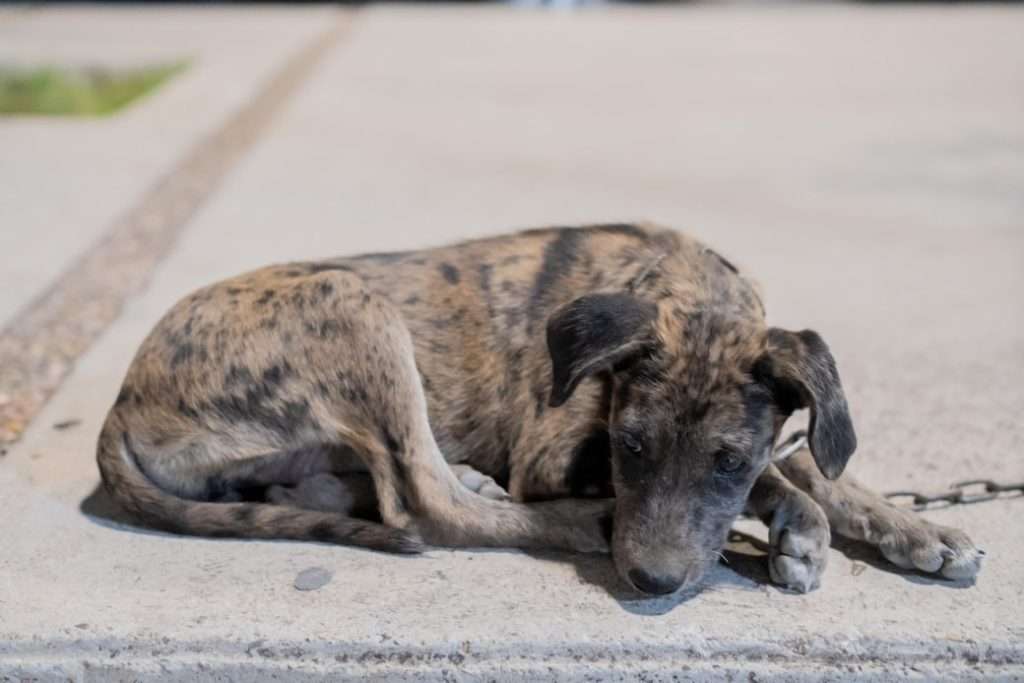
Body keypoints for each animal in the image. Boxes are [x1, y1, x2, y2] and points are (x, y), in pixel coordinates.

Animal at [97, 223, 983, 594]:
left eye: (725, 457)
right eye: (629, 445)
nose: (651, 581)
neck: (683, 278)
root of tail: (122, 398)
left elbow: (801, 457)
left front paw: (917, 529)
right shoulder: (553, 451)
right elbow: (783, 475)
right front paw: (797, 525)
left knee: (361, 482)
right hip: (354, 303)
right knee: (424, 502)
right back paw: (573, 520)